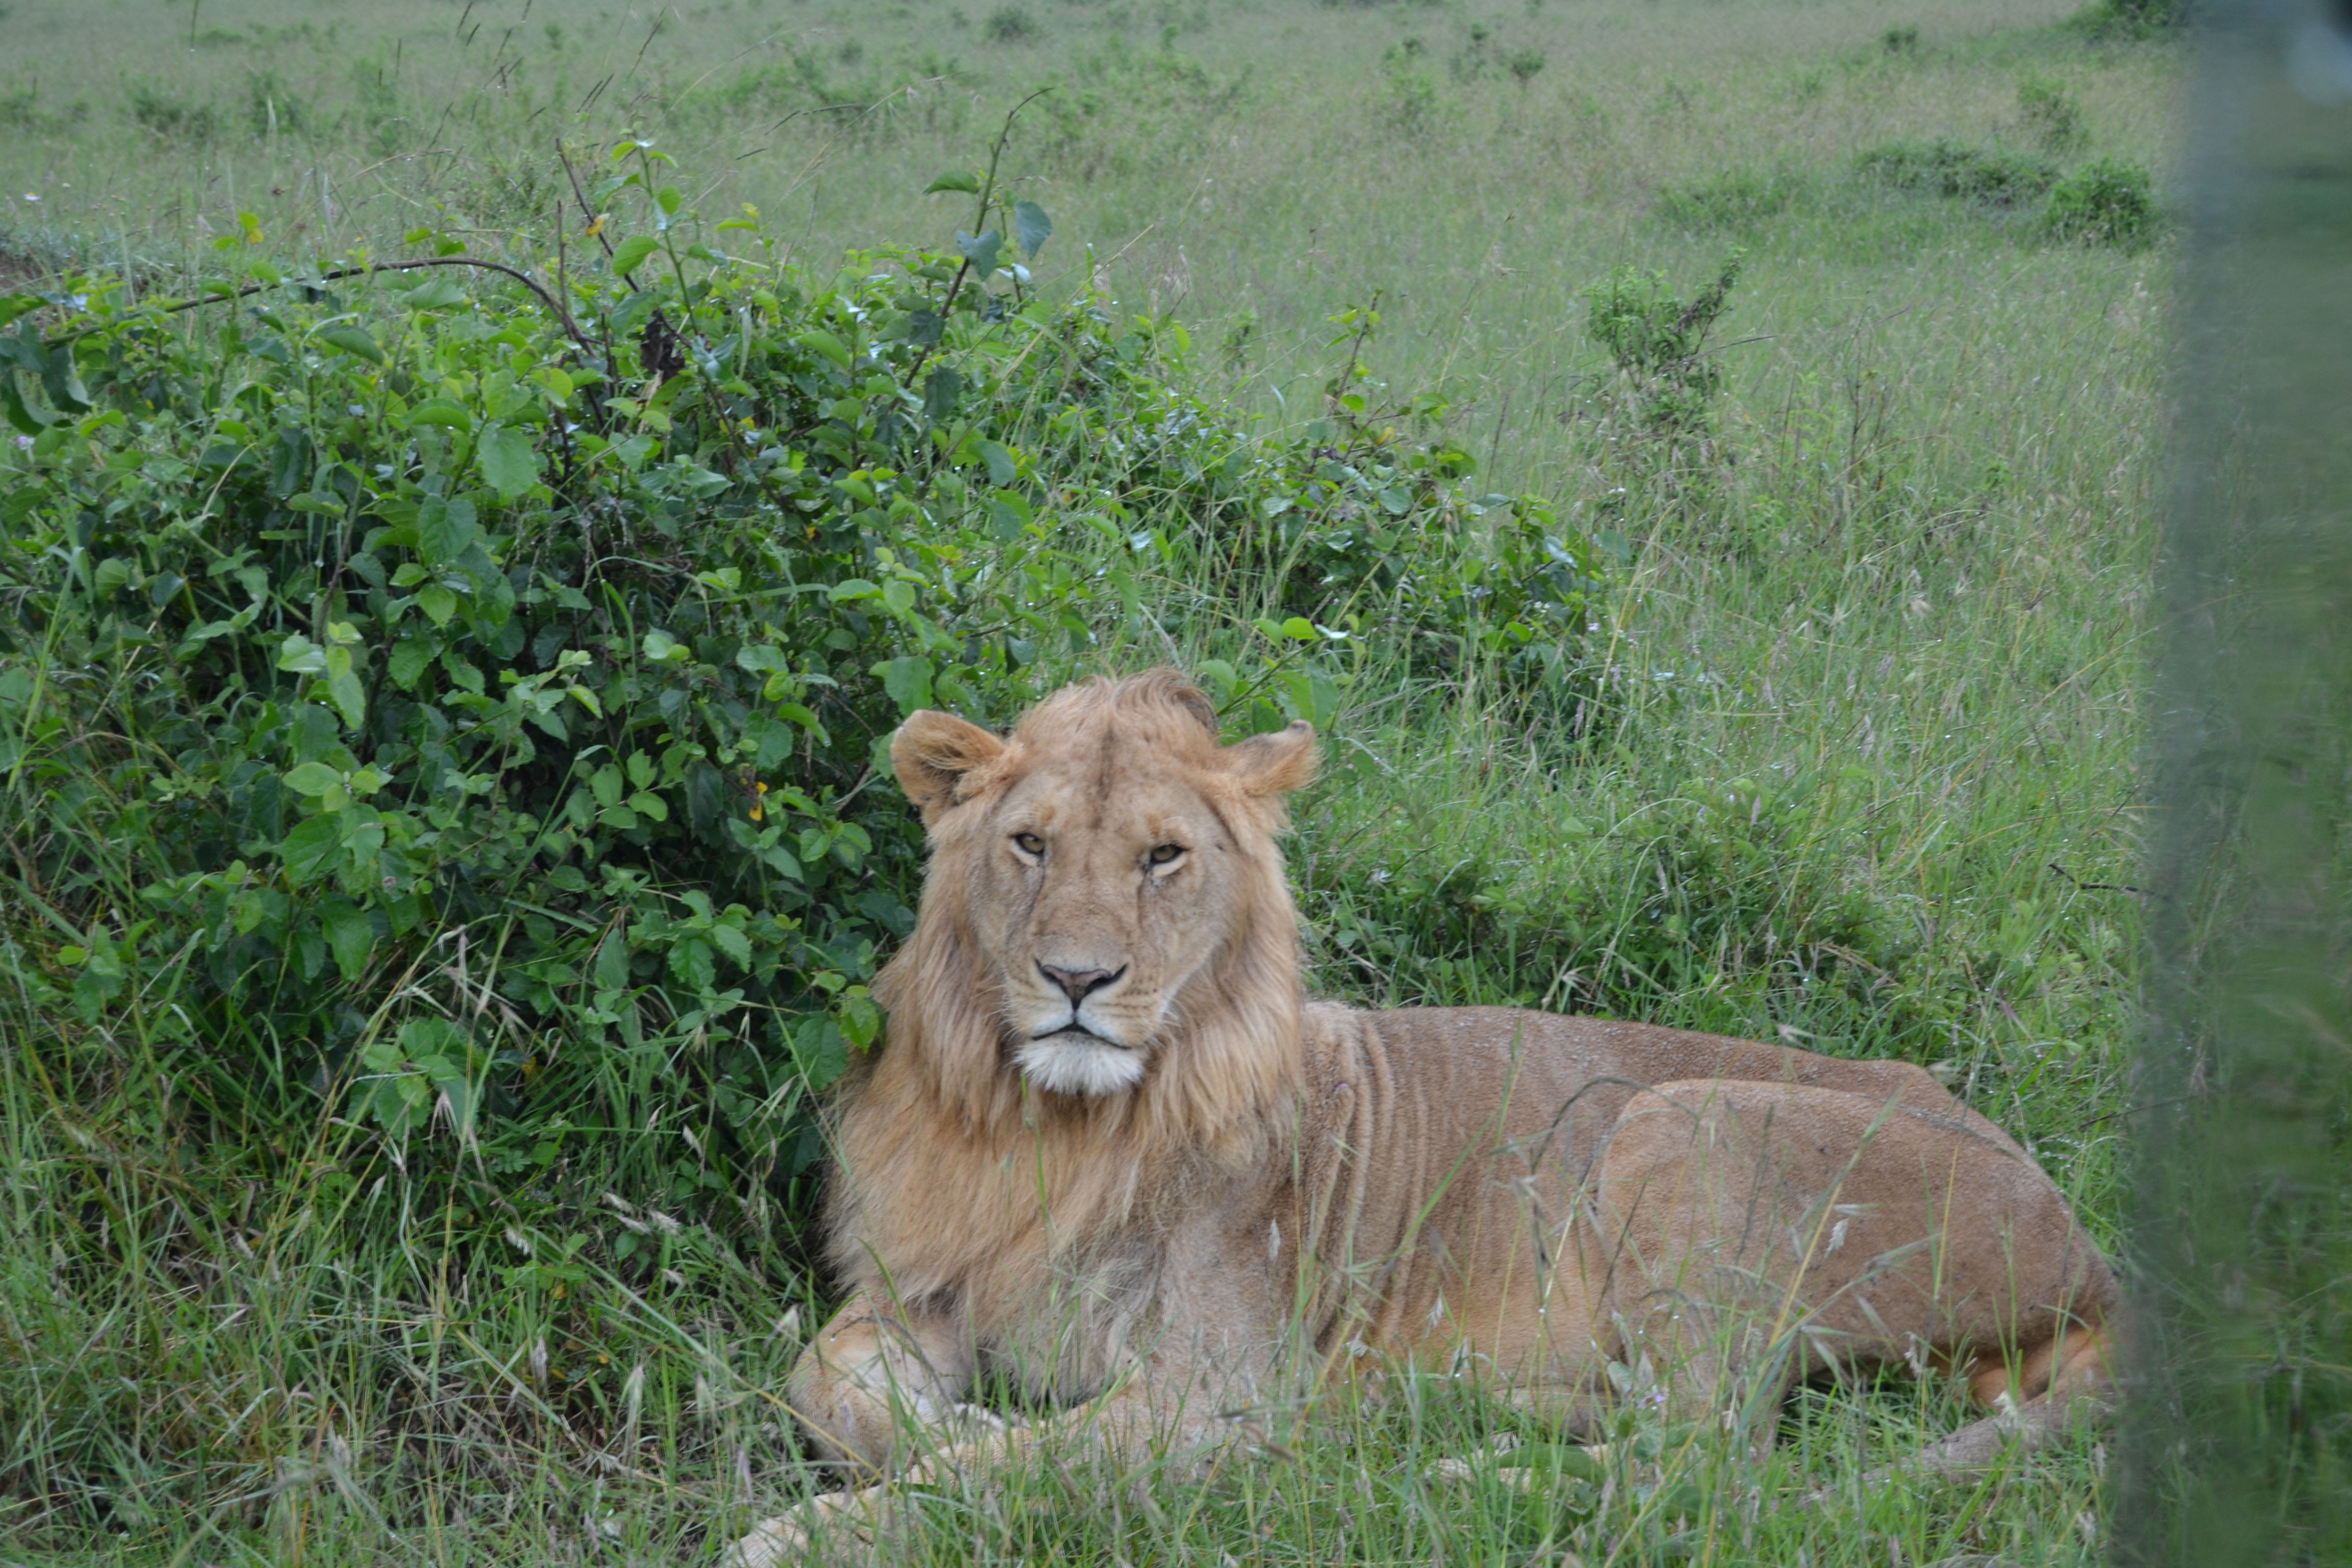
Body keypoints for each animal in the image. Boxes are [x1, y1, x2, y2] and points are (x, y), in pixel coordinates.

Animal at [729, 668, 2117, 1561]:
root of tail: (2092, 1253)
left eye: (1163, 856)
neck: (1057, 1129)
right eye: (1028, 843)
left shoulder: (1213, 1391)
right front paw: (945, 1418)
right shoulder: (914, 1292)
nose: (1077, 980)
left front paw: (816, 1529)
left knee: (1715, 1462)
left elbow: (1012, 1466)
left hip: (1683, 1119)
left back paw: (1458, 1470)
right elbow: (822, 1382)